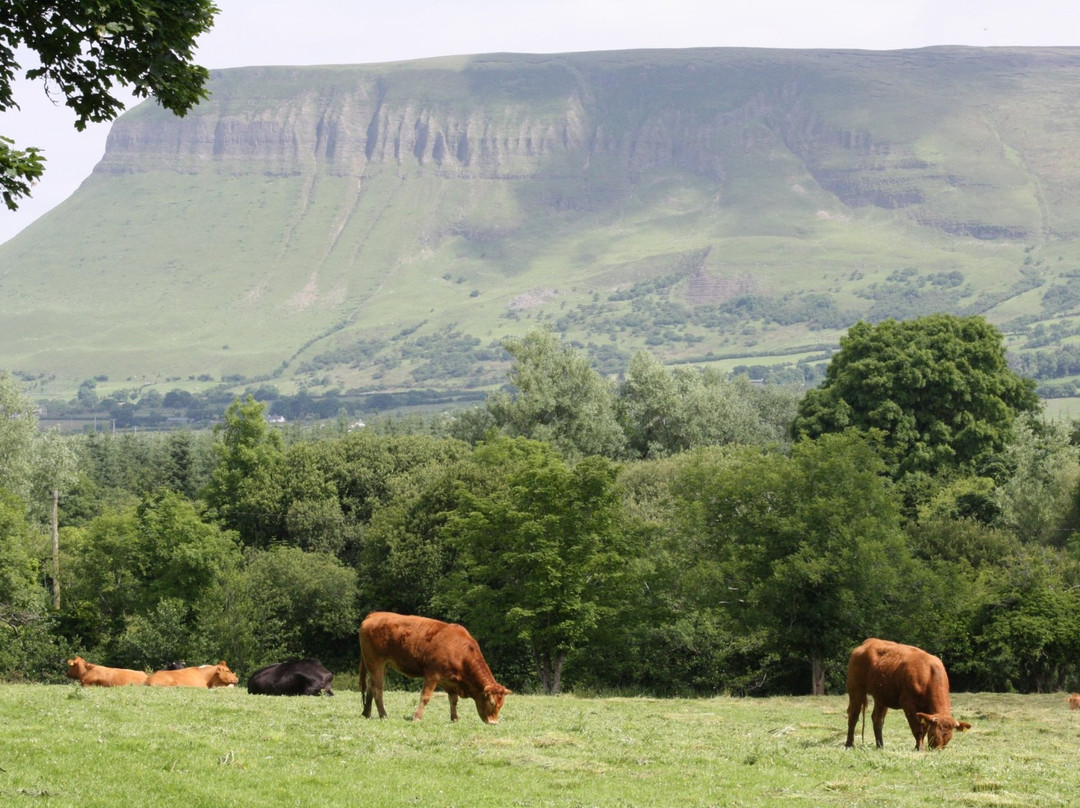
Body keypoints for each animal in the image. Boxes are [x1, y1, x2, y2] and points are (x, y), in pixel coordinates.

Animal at [358, 613, 509, 725]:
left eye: (501, 704)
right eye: (491, 703)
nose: (493, 723)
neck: (460, 651)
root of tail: (374, 615)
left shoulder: (451, 681)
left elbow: (453, 700)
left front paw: (454, 719)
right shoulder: (432, 675)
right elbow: (425, 697)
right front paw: (416, 717)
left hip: (379, 665)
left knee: (370, 687)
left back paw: (367, 713)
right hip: (376, 663)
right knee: (377, 690)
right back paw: (383, 714)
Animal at [842, 639, 972, 751]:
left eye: (949, 738)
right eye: (934, 734)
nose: (937, 750)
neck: (929, 675)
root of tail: (868, 642)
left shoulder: (925, 711)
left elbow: (923, 728)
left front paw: (919, 746)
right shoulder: (908, 704)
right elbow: (917, 728)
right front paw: (919, 748)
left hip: (881, 696)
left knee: (877, 719)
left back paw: (880, 746)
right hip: (855, 689)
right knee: (853, 715)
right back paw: (849, 745)